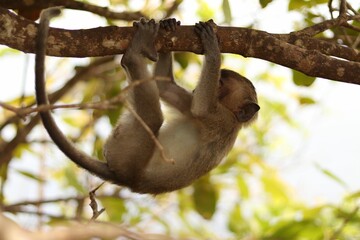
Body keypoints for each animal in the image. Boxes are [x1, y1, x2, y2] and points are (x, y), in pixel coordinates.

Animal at [35, 7, 258, 195]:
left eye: (220, 82)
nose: (195, 89)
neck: (234, 116)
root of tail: (127, 179)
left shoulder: (221, 118)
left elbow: (201, 108)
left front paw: (213, 48)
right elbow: (164, 87)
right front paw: (169, 27)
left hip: (127, 156)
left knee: (153, 119)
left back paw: (133, 55)